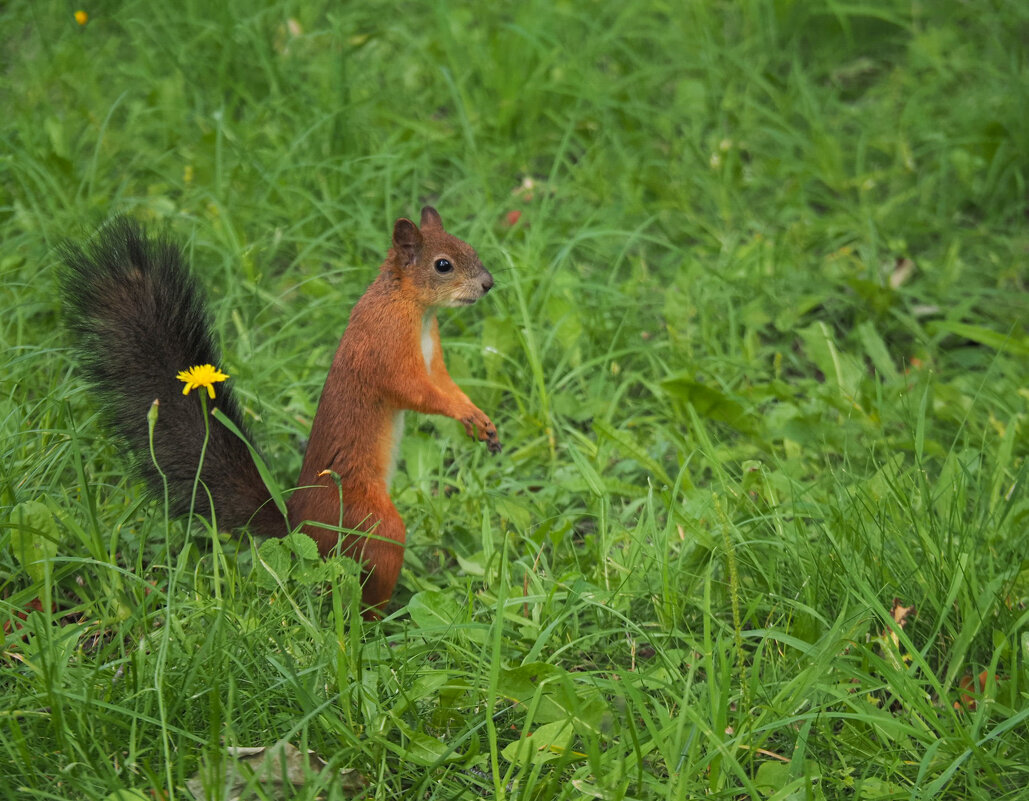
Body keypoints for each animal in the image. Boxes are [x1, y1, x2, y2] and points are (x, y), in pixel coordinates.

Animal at [60, 205, 502, 613]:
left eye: (470, 247)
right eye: (443, 265)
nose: (488, 284)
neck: (413, 306)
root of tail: (298, 523)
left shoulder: (434, 361)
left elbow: (447, 385)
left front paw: (481, 420)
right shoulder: (386, 352)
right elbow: (419, 394)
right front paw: (465, 416)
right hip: (370, 521)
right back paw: (384, 618)